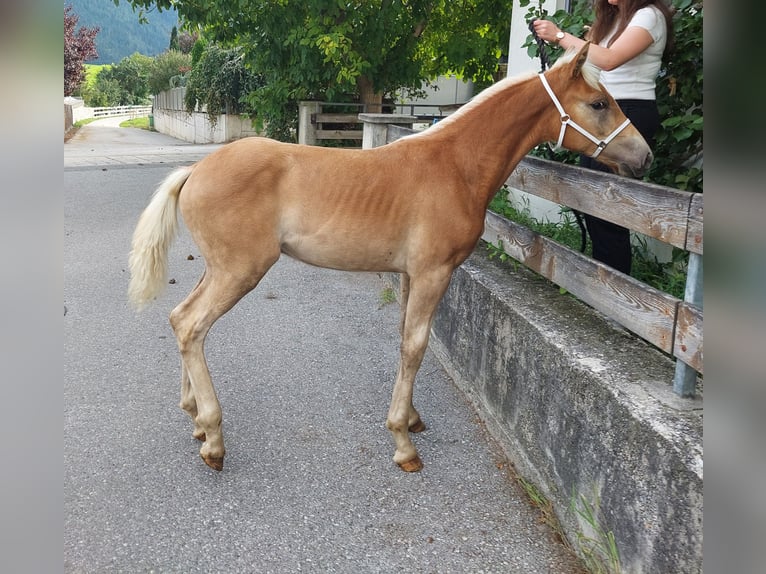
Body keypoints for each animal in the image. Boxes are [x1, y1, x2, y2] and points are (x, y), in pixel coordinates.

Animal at [129, 44, 652, 472]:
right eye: (599, 103)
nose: (644, 157)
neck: (454, 166)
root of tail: (196, 169)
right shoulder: (433, 273)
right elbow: (415, 346)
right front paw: (404, 443)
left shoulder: (409, 275)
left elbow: (405, 339)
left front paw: (414, 419)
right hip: (240, 270)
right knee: (192, 325)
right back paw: (214, 438)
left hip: (219, 269)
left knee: (180, 319)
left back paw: (196, 418)